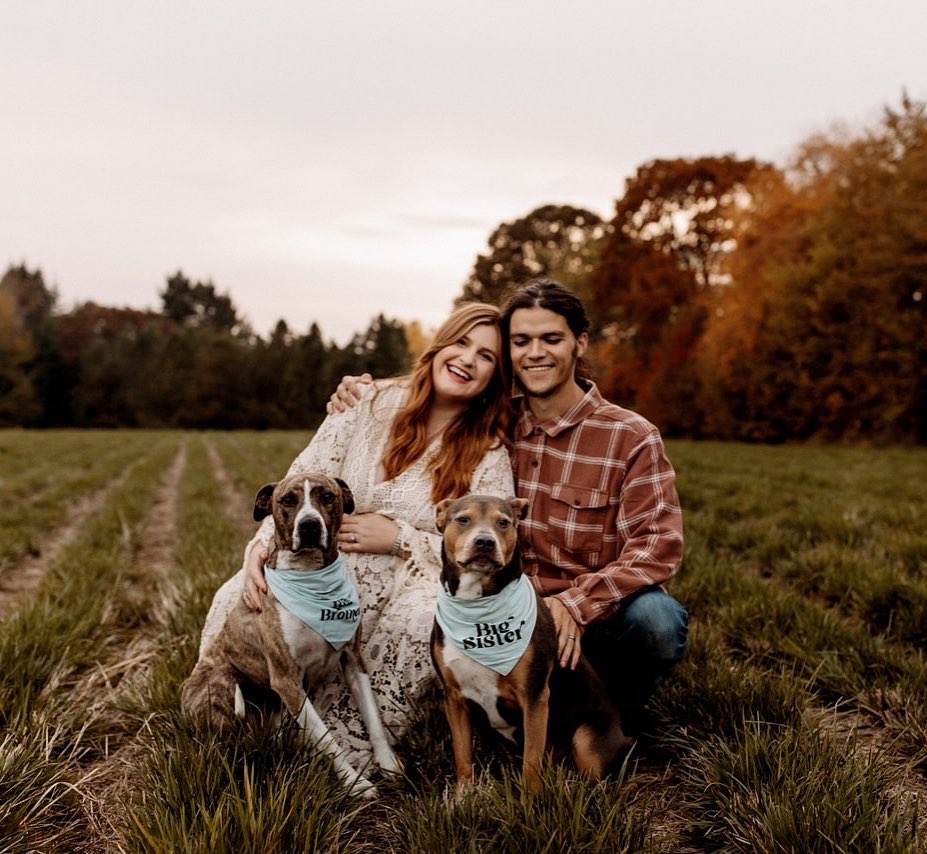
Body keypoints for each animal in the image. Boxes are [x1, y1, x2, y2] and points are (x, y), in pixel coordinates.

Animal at [181, 472, 398, 800]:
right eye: (287, 500)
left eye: (327, 496)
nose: (309, 525)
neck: (310, 576)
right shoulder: (287, 681)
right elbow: (327, 740)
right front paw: (356, 785)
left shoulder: (353, 659)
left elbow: (373, 719)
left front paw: (388, 765)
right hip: (222, 681)